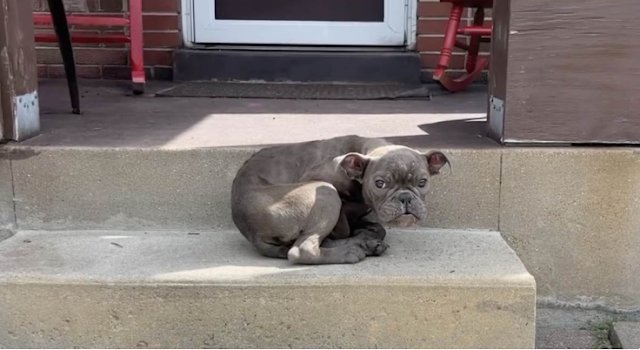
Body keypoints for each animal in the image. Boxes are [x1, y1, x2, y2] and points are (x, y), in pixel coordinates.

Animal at [231, 135, 450, 264]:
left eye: (422, 182)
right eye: (380, 184)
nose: (405, 198)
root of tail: (251, 231)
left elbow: (378, 228)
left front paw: (366, 232)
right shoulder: (316, 178)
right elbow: (347, 223)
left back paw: (364, 244)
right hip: (325, 193)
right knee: (302, 250)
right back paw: (350, 251)